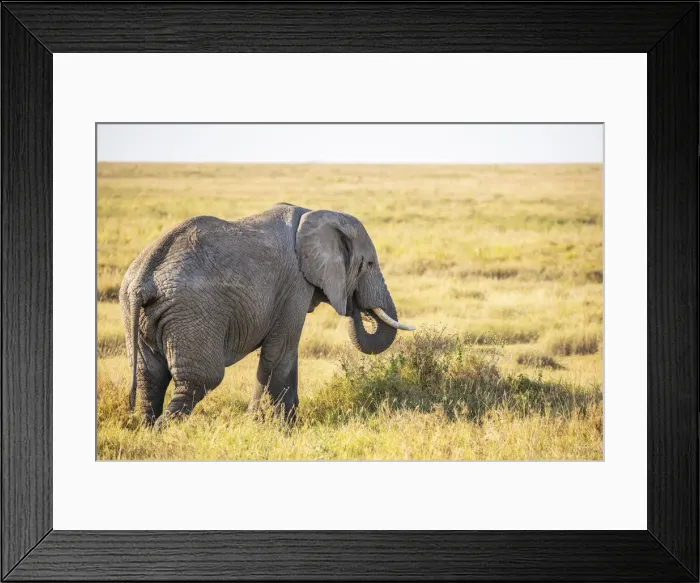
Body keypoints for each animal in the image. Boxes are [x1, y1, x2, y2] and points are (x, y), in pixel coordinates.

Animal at [119, 202, 415, 429]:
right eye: (369, 264)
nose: (354, 305)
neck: (314, 214)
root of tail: (143, 277)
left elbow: (284, 354)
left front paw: (276, 425)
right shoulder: (295, 285)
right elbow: (280, 352)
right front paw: (276, 428)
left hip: (143, 313)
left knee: (150, 377)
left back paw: (148, 430)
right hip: (192, 313)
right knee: (200, 378)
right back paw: (164, 430)